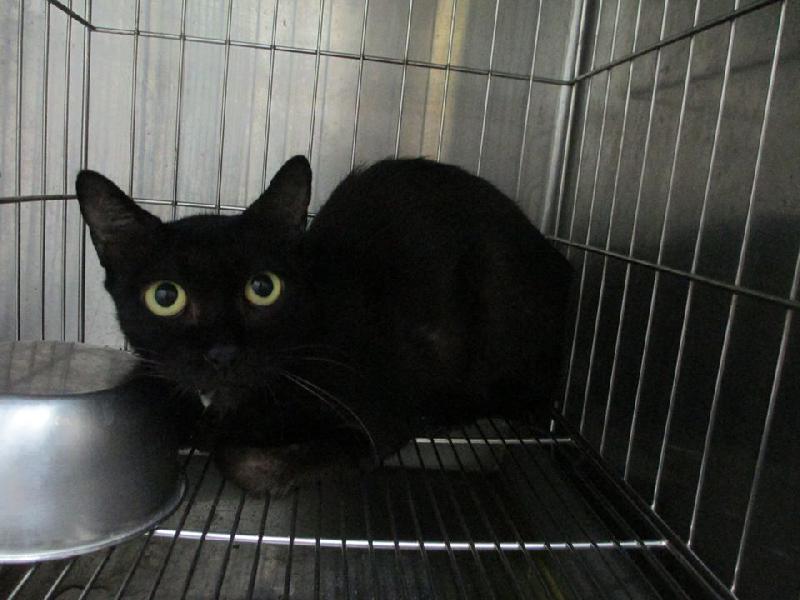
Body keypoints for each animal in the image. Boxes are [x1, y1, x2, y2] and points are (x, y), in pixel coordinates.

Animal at [75, 156, 572, 495]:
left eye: (263, 288)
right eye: (165, 297)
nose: (222, 353)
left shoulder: (376, 422)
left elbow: (242, 461)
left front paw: (223, 439)